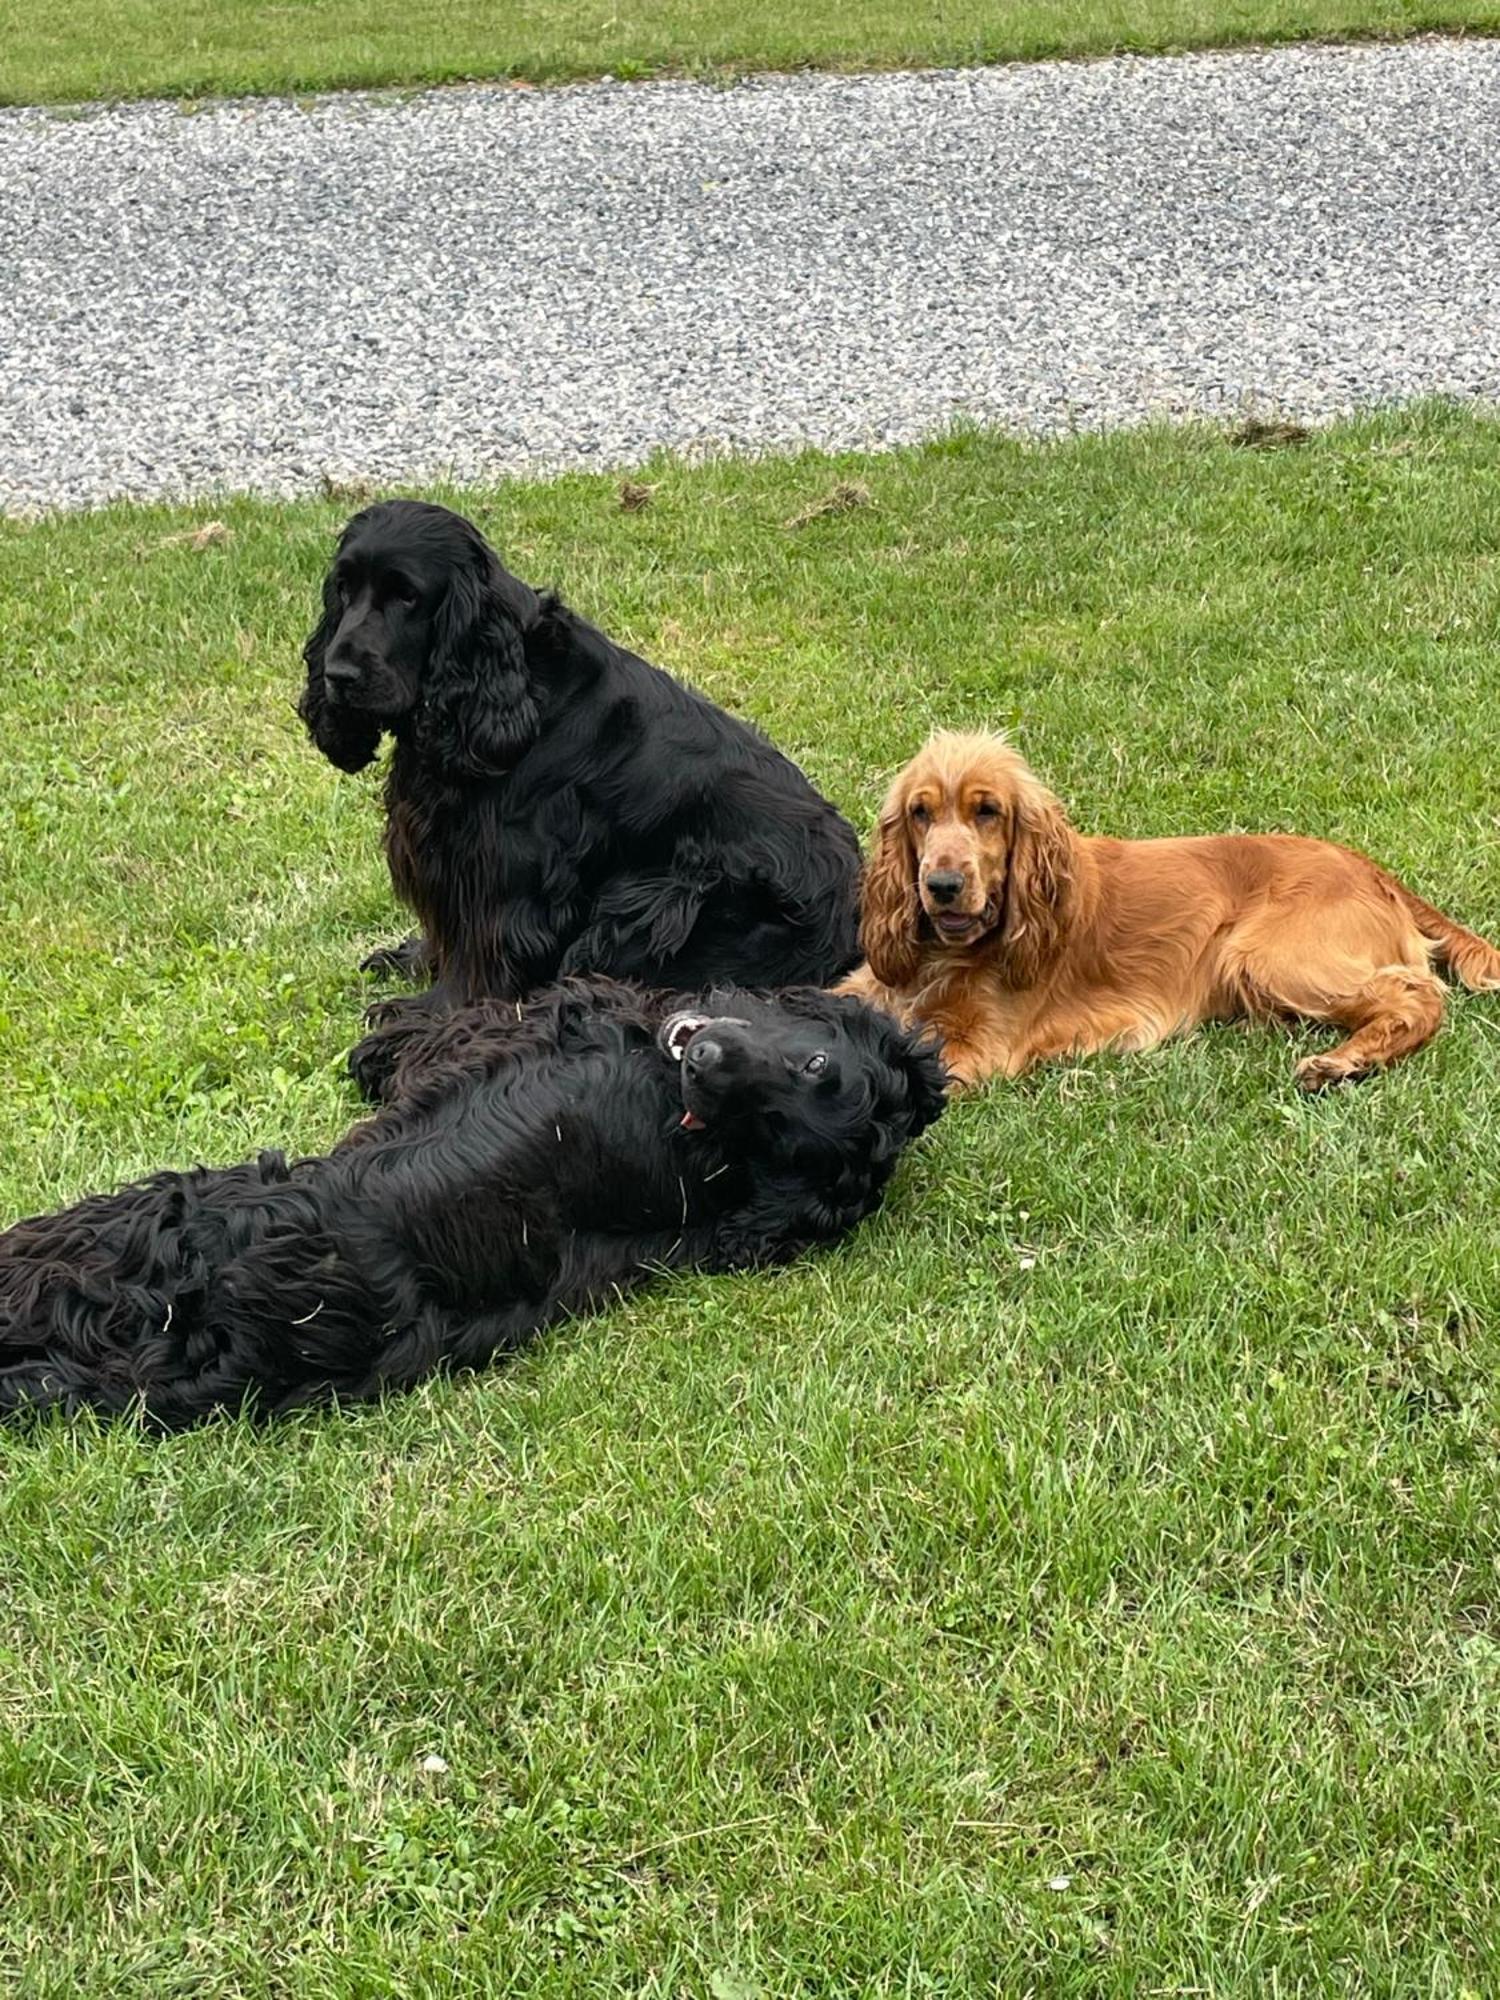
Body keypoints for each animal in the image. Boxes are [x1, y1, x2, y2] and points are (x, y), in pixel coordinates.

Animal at [840, 728, 1496, 1088]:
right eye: (921, 812)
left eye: (987, 811)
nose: (942, 885)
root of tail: (1369, 867)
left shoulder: (979, 1047)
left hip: (1261, 954)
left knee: (1419, 996)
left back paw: (1342, 1064)